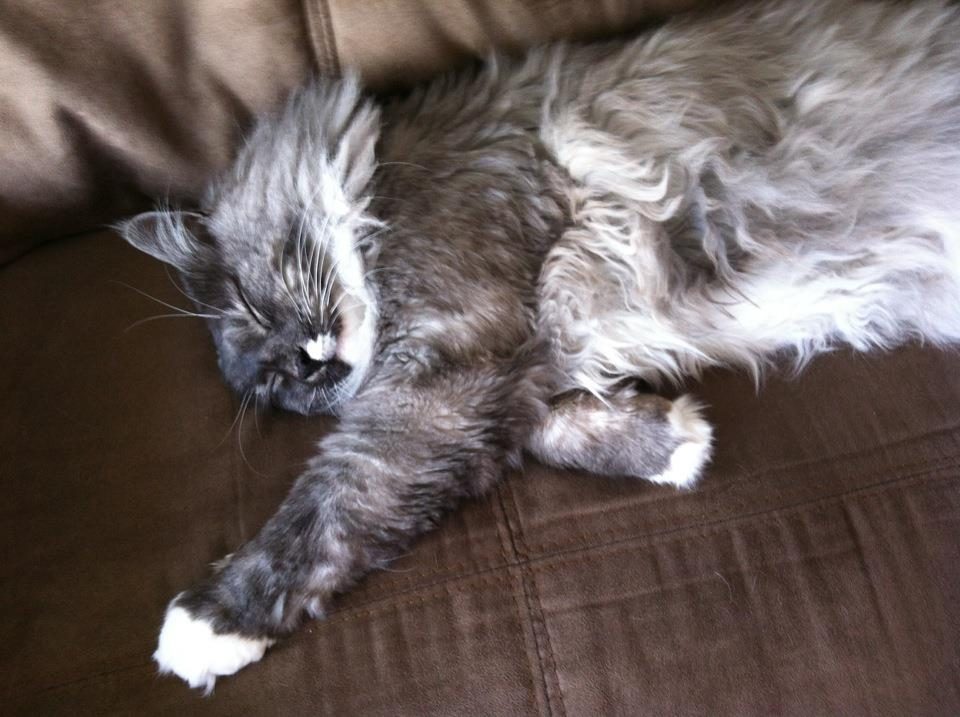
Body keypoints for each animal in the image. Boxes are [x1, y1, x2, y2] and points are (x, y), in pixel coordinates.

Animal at [118, 0, 960, 692]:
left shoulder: (452, 361)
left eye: (255, 302)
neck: (380, 179)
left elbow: (340, 494)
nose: (303, 364)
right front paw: (669, 442)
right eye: (272, 385)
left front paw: (210, 621)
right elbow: (533, 432)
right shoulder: (499, 367)